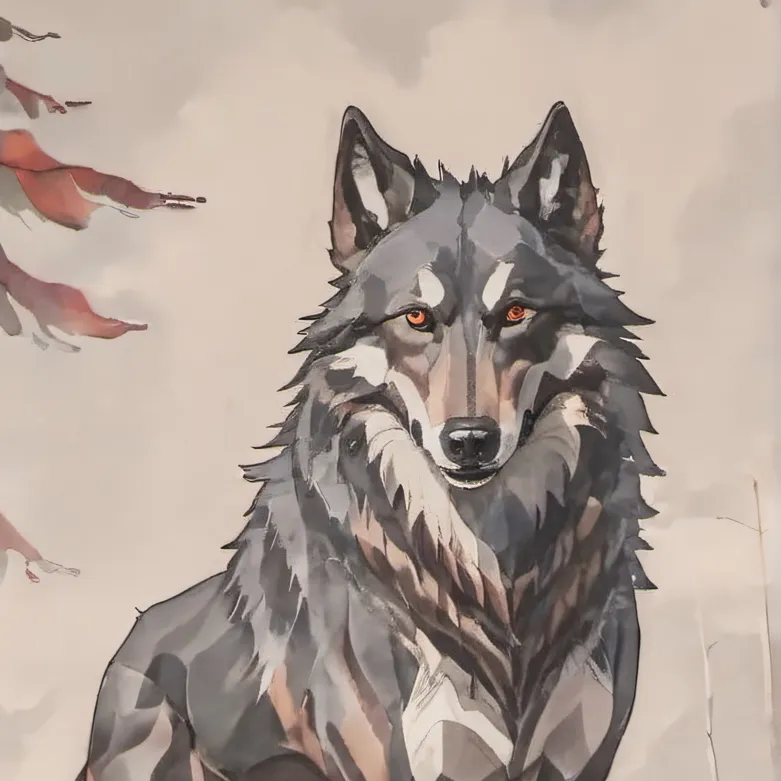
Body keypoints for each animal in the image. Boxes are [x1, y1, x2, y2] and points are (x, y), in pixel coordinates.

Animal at [76, 101, 663, 781]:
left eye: (516, 313)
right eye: (416, 318)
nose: (469, 441)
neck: (492, 577)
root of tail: (129, 644)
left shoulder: (584, 761)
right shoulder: (391, 761)